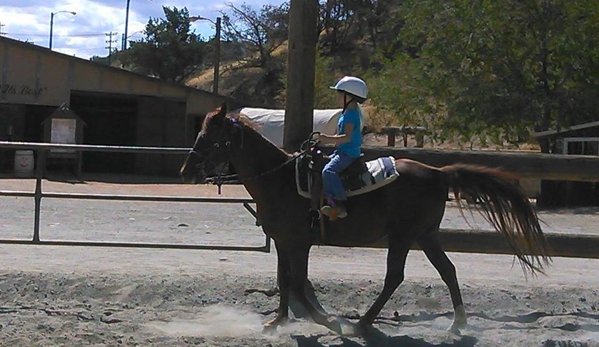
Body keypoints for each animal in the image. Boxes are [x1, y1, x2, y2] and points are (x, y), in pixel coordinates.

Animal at [182, 104, 552, 336]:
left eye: (208, 137)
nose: (186, 171)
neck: (280, 179)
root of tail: (438, 173)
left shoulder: (300, 243)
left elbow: (299, 283)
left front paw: (328, 322)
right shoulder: (284, 242)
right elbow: (286, 281)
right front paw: (278, 321)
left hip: (403, 237)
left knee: (394, 277)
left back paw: (362, 323)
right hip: (426, 235)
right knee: (447, 271)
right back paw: (457, 323)